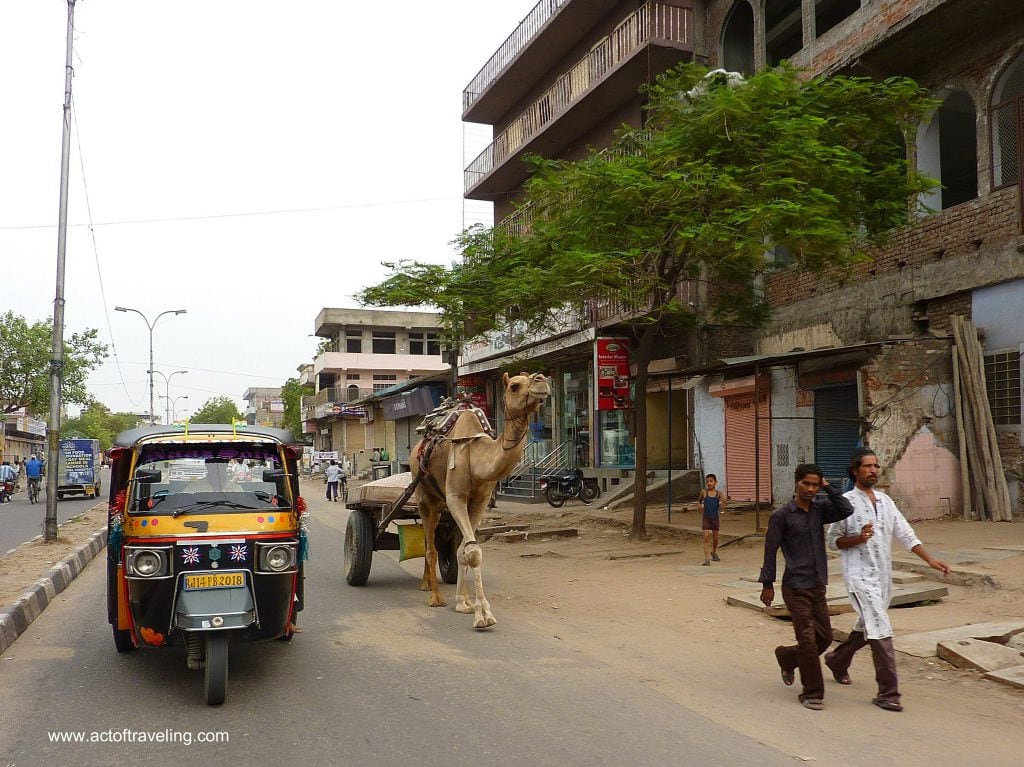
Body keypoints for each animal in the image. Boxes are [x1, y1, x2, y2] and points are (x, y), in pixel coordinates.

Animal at [409, 370, 548, 626]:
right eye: (514, 386)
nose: (541, 379)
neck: (476, 457)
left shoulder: (481, 500)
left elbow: (463, 550)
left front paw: (464, 602)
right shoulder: (456, 497)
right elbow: (473, 551)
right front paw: (483, 614)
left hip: (440, 503)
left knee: (431, 540)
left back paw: (425, 584)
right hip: (423, 493)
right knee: (430, 546)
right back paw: (434, 596)